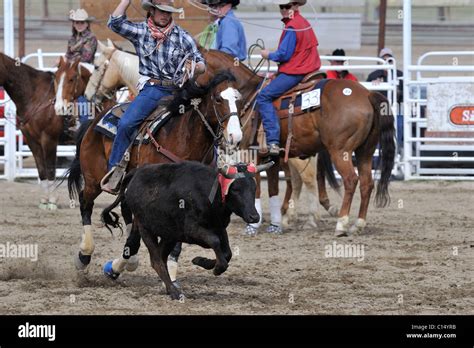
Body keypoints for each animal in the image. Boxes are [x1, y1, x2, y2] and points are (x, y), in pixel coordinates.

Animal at [0, 51, 68, 209]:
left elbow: (50, 169)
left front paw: (52, 202)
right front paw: (44, 200)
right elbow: (41, 169)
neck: (35, 95)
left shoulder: (49, 139)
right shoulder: (32, 140)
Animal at [67, 70, 244, 270]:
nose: (236, 136)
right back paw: (84, 255)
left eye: (238, 98)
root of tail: (93, 122)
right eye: (218, 99)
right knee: (85, 202)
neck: (182, 138)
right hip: (93, 180)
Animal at [201, 49, 396, 237]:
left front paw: (253, 226)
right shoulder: (272, 157)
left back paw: (341, 224)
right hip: (365, 151)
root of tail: (368, 94)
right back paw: (358, 225)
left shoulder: (250, 152)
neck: (249, 96)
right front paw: (275, 224)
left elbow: (257, 187)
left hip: (340, 151)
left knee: (349, 180)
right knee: (366, 183)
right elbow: (274, 189)